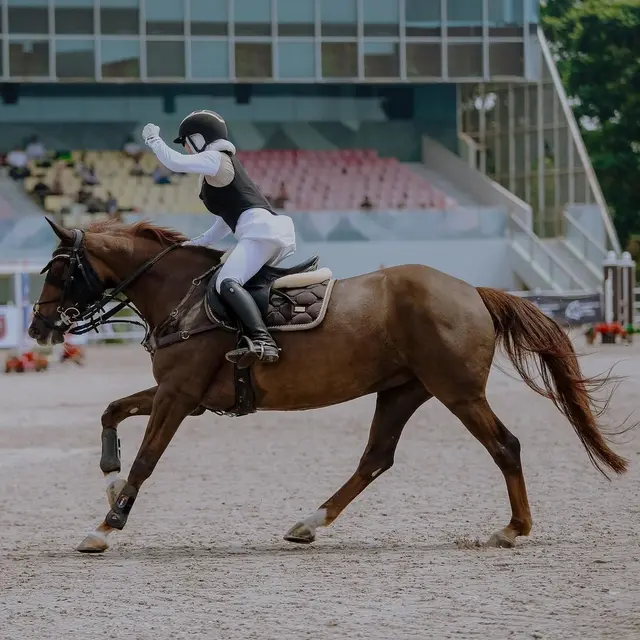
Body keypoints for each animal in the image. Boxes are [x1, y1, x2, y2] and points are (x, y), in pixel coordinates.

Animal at [27, 216, 628, 556]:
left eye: (59, 271)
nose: (37, 329)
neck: (181, 294)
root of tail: (472, 290)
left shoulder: (178, 397)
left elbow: (147, 459)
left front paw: (106, 527)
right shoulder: (183, 395)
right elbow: (110, 412)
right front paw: (109, 483)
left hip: (457, 392)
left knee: (504, 445)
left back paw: (512, 530)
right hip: (402, 390)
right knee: (376, 458)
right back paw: (308, 524)